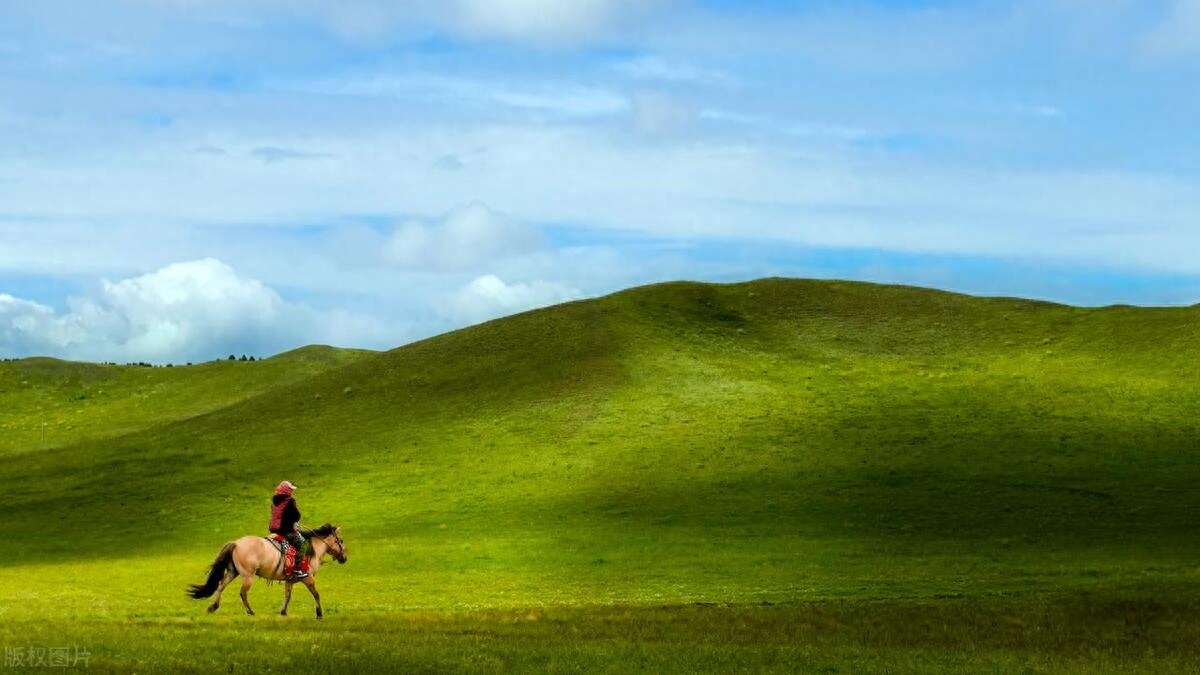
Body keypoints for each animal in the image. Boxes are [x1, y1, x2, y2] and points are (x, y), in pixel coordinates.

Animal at [186, 523, 348, 619]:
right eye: (341, 540)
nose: (344, 558)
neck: (311, 551)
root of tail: (236, 543)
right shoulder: (308, 579)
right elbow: (316, 594)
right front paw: (319, 614)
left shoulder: (290, 581)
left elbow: (287, 596)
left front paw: (283, 612)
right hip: (248, 575)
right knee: (242, 593)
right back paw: (250, 612)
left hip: (233, 572)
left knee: (221, 586)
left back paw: (213, 607)